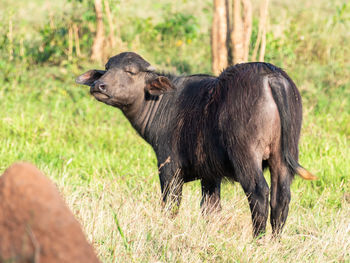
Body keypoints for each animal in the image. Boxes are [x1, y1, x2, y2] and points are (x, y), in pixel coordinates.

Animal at [76, 51, 314, 237]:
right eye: (107, 68)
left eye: (130, 72)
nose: (98, 85)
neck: (162, 103)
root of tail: (271, 76)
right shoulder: (210, 176)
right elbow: (210, 209)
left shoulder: (169, 169)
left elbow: (171, 204)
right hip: (283, 157)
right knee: (281, 197)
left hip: (246, 155)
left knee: (259, 193)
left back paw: (257, 239)